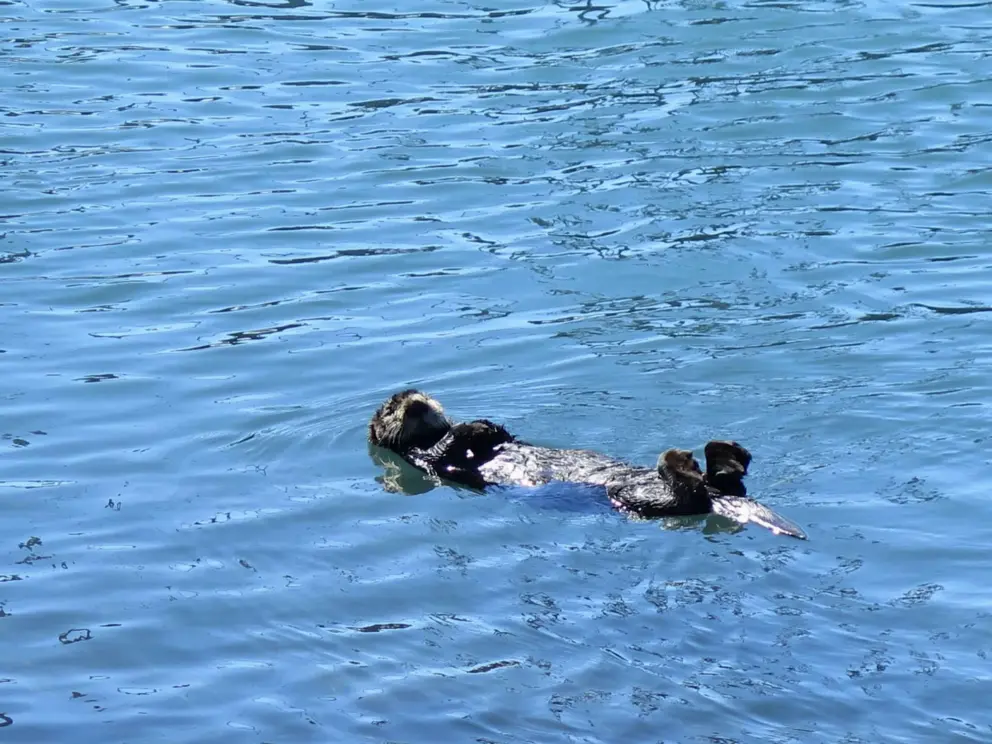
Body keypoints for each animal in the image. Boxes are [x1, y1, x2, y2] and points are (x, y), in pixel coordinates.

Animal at [368, 389, 807, 540]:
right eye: (390, 409)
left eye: (421, 394)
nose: (415, 402)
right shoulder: (426, 461)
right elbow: (444, 452)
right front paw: (471, 427)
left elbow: (500, 436)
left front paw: (487, 425)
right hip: (629, 497)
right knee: (692, 496)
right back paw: (683, 461)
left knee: (728, 483)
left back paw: (726, 453)